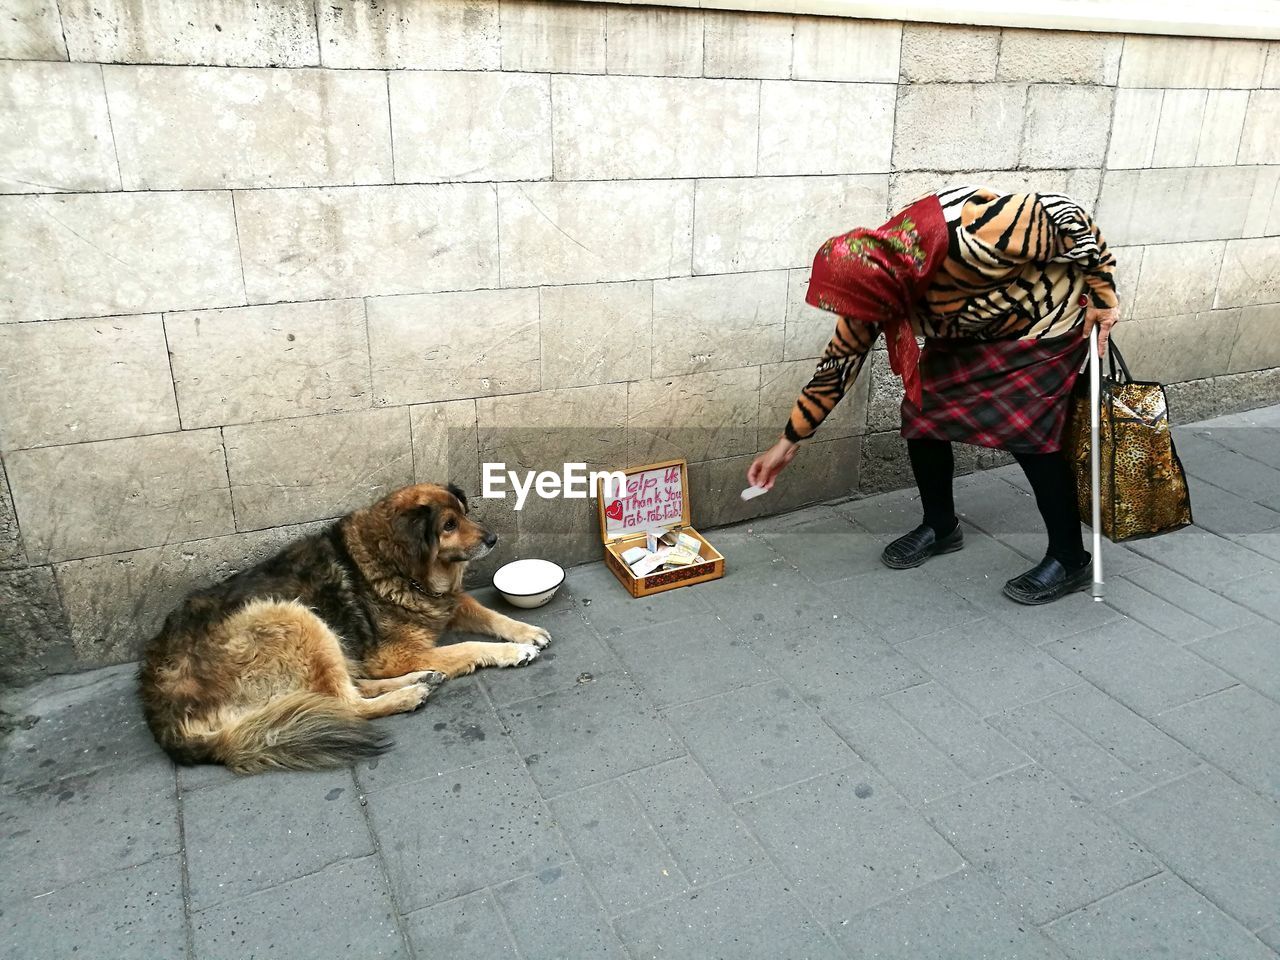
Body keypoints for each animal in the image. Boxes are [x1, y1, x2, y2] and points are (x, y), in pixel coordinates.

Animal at [140, 481, 550, 773]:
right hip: (293, 617)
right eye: (448, 525)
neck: (397, 567)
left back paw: (421, 679)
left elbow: (490, 614)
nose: (493, 538)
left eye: (465, 514)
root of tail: (160, 710)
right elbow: (466, 647)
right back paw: (410, 693)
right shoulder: (395, 652)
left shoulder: (448, 604)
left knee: (347, 689)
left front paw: (525, 630)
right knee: (346, 703)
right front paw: (512, 651)